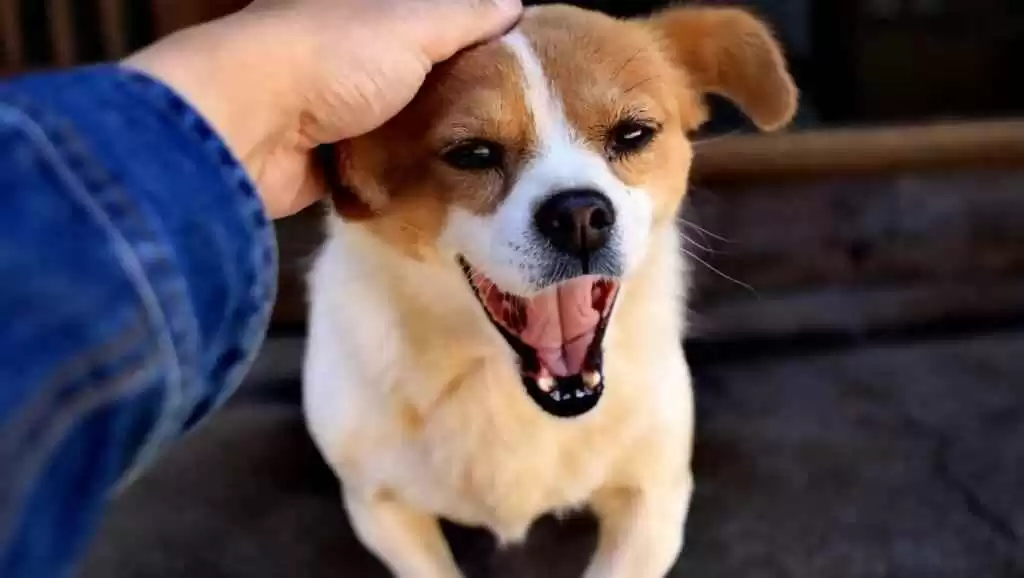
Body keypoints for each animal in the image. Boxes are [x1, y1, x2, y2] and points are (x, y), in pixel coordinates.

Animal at [303, 4, 796, 577]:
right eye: (472, 153)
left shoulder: (654, 500)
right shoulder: (380, 506)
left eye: (633, 134)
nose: (579, 215)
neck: (501, 387)